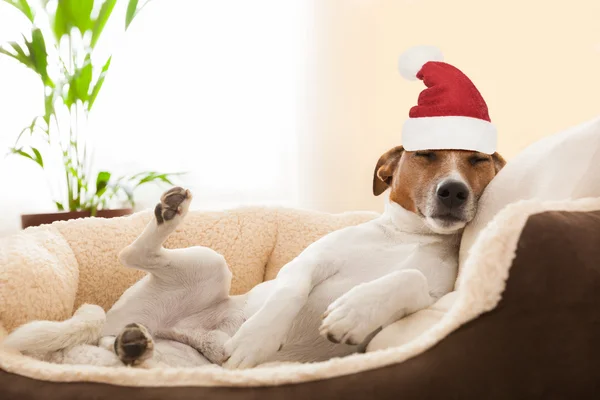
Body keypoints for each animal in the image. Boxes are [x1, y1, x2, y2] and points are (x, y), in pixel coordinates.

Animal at [4, 147, 504, 368]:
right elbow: (289, 292)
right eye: (426, 156)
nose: (453, 192)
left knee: (122, 349)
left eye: (478, 161)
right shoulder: (306, 264)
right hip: (211, 263)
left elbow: (409, 281)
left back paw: (133, 347)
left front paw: (355, 312)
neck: (405, 236)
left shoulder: (437, 295)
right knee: (132, 251)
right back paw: (169, 213)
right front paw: (257, 341)